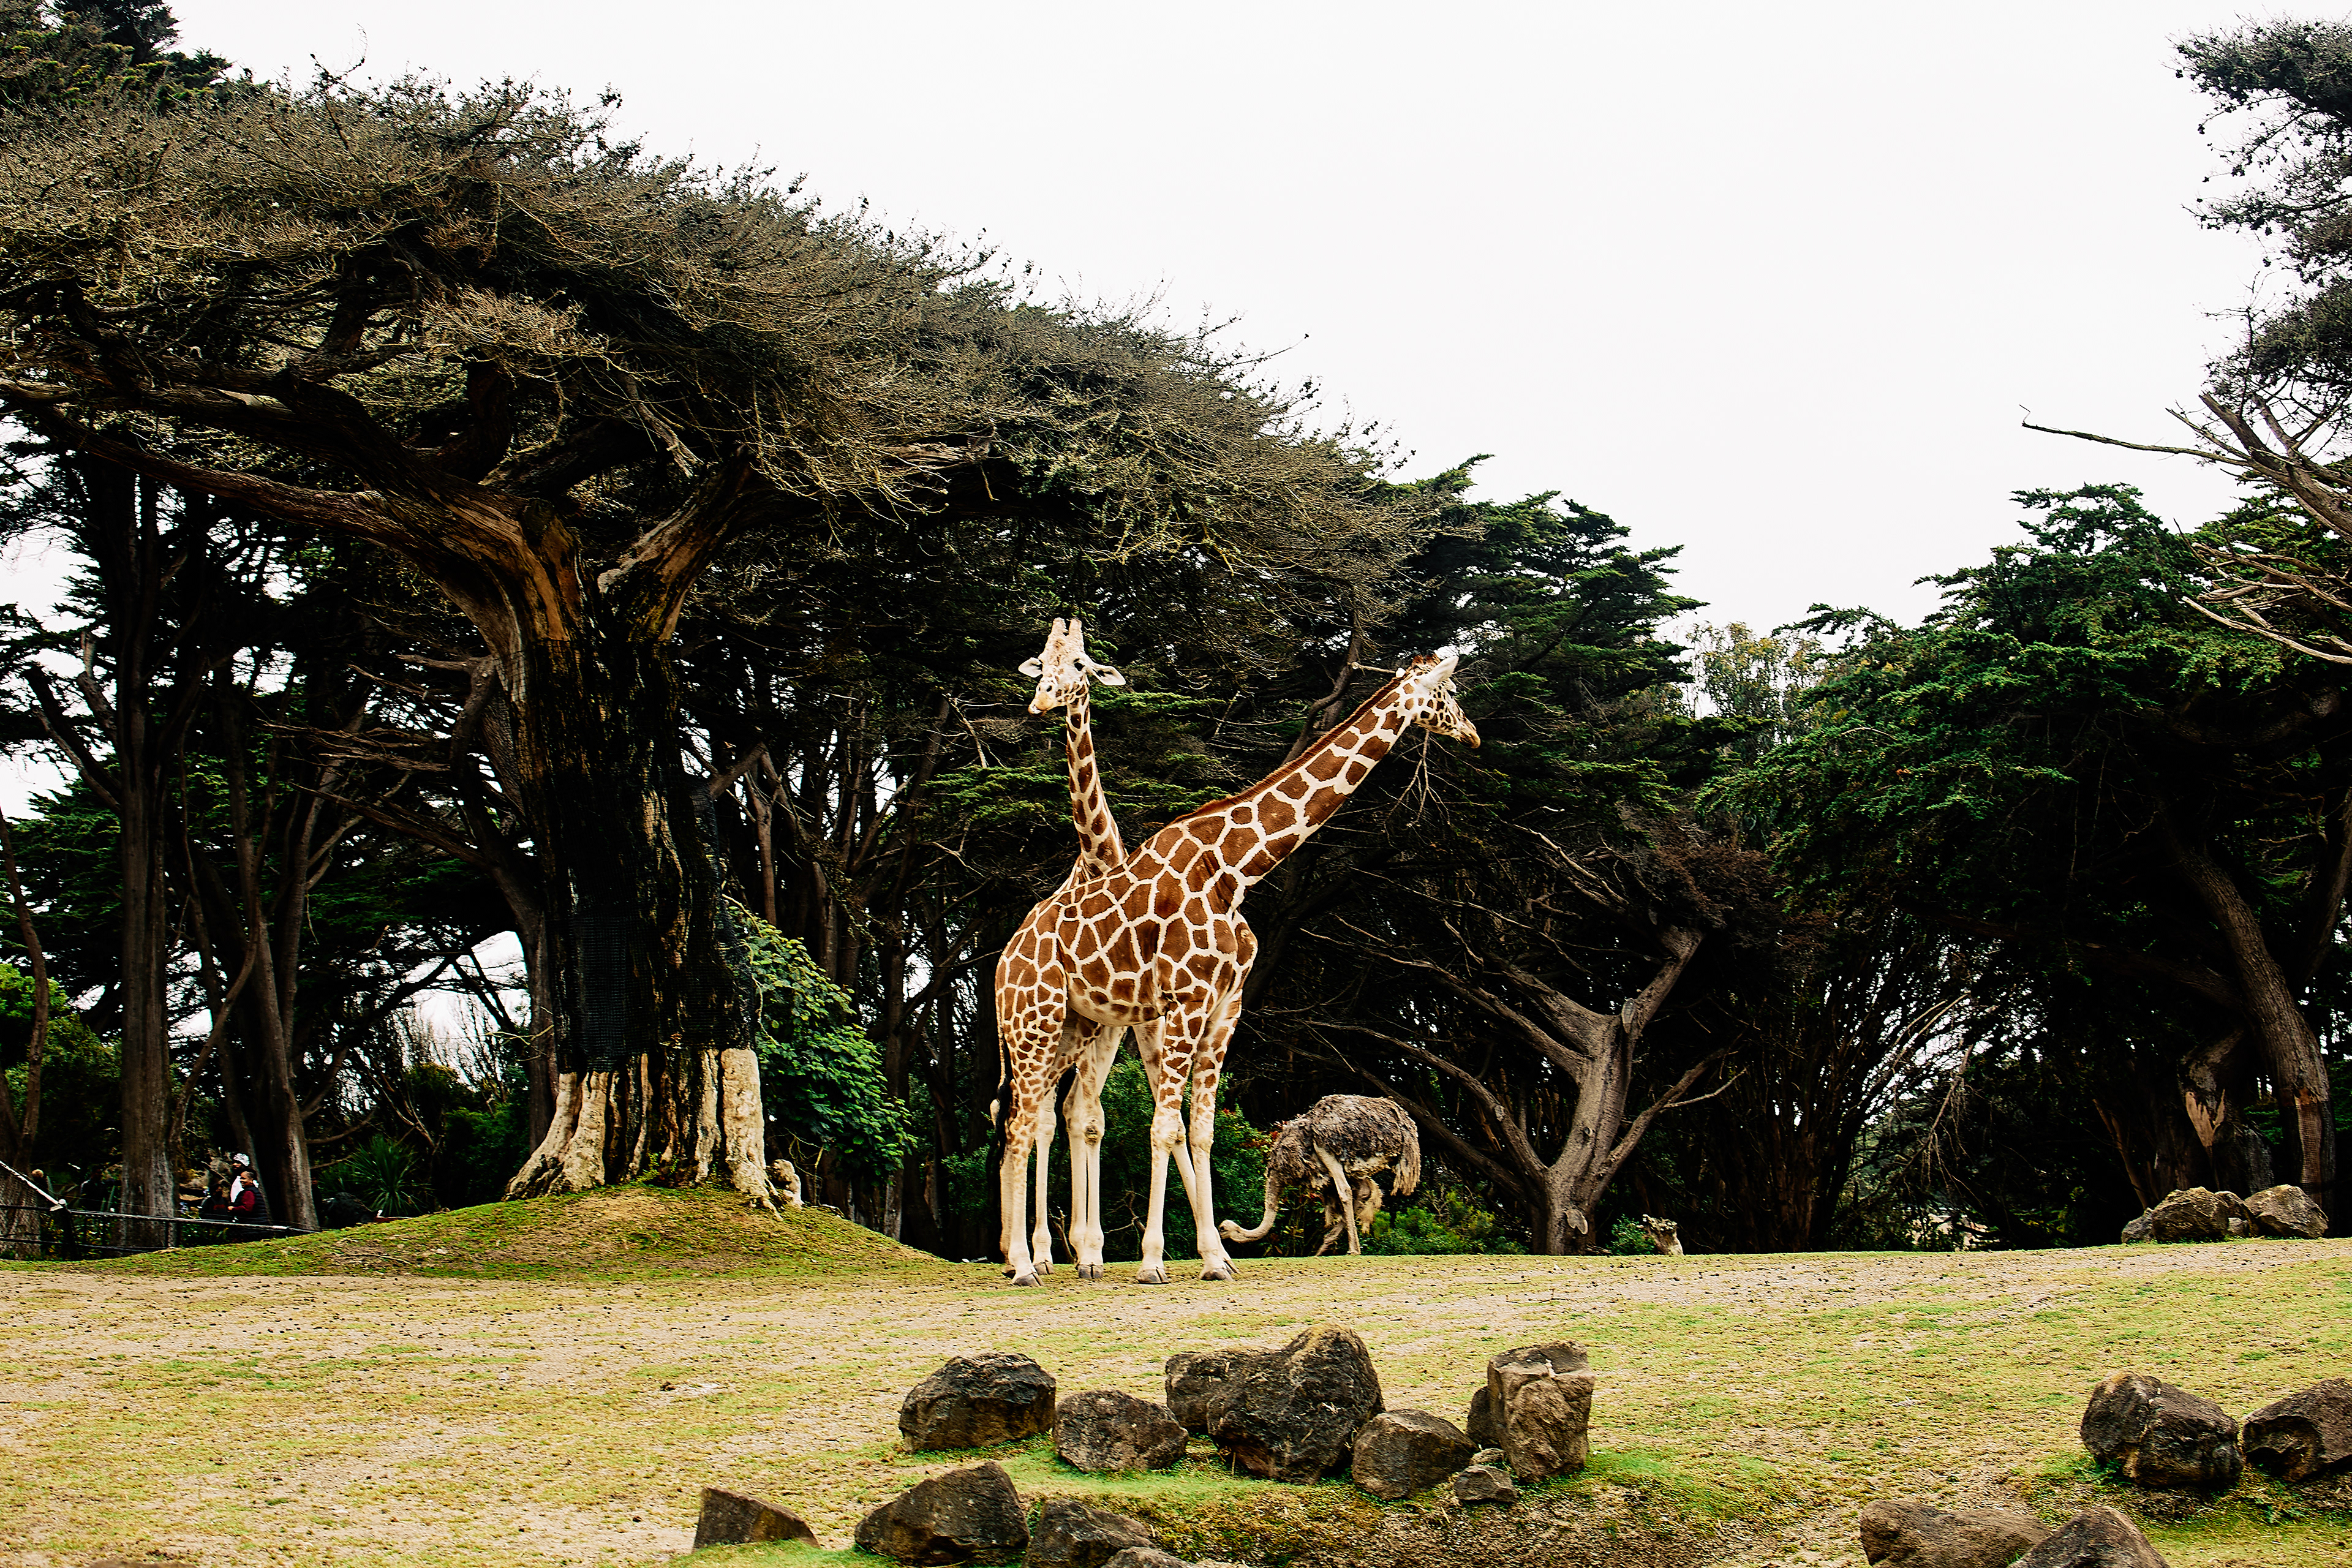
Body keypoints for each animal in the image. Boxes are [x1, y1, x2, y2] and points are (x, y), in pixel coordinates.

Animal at [994, 652, 1479, 1286]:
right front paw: (1154, 1261)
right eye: (1448, 692)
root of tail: (1005, 959)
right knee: (1024, 1123)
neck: (1234, 866)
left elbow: (1200, 1130)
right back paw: (1027, 1264)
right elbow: (1164, 1126)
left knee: (1042, 1117)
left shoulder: (1226, 1006)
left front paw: (1214, 1257)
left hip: (1076, 1027)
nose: (1473, 731)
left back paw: (1050, 1256)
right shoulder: (1186, 1000)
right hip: (1035, 1024)